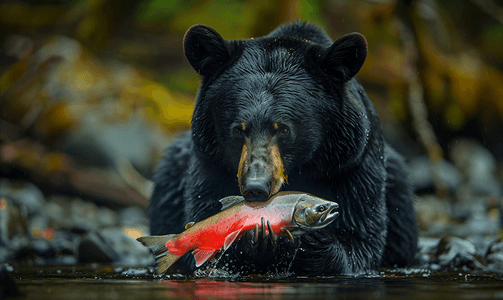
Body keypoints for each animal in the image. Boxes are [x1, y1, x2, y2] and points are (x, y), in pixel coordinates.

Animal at [150, 21, 418, 276]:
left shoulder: (352, 164)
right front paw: (254, 241)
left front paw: (313, 242)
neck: (306, 167)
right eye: (238, 129)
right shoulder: (210, 162)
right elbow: (204, 219)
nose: (255, 188)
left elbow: (363, 240)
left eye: (284, 129)